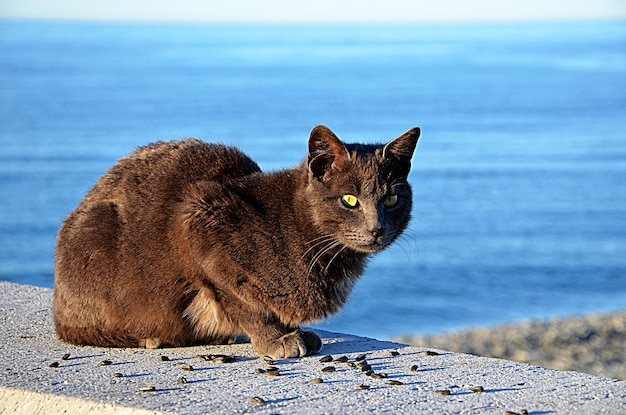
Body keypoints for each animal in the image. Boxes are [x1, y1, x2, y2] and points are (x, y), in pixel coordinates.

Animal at [52, 125, 420, 360]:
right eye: (349, 200)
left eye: (391, 200)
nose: (377, 228)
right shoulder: (198, 220)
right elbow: (242, 300)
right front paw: (277, 339)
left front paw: (295, 330)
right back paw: (151, 338)